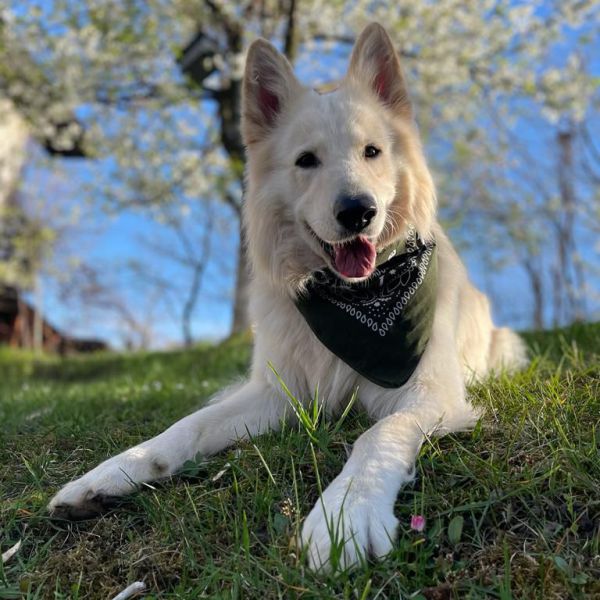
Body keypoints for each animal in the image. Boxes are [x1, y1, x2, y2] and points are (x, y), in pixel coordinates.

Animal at [49, 24, 528, 572]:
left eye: (372, 152)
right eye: (306, 161)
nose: (357, 212)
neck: (356, 298)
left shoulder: (429, 394)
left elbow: (376, 435)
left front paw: (346, 511)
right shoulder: (281, 395)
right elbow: (185, 427)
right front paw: (111, 473)